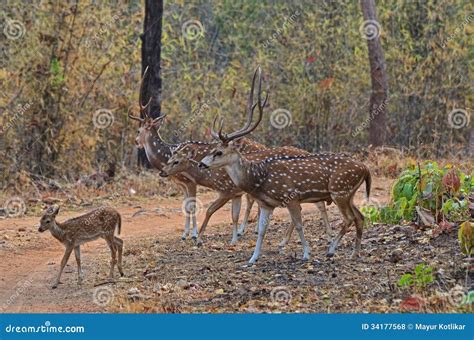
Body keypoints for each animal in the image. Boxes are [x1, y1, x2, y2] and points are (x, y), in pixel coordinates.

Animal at [198, 65, 372, 262]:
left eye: (219, 152)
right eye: (212, 149)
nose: (201, 164)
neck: (259, 179)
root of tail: (366, 169)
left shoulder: (291, 196)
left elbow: (299, 225)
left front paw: (306, 254)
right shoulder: (267, 204)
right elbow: (262, 231)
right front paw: (252, 259)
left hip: (339, 190)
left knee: (349, 218)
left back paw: (332, 249)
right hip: (348, 194)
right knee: (360, 216)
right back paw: (354, 252)